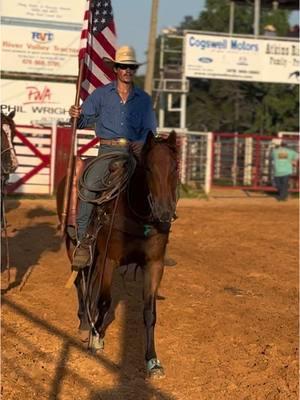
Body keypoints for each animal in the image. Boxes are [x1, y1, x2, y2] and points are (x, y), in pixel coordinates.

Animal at [57, 131, 177, 378]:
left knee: (88, 282)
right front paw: (96, 339)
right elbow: (104, 301)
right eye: (148, 168)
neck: (138, 213)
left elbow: (149, 312)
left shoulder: (154, 264)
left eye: (175, 168)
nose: (164, 213)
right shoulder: (109, 260)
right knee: (80, 281)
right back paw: (85, 325)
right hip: (75, 245)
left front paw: (152, 361)